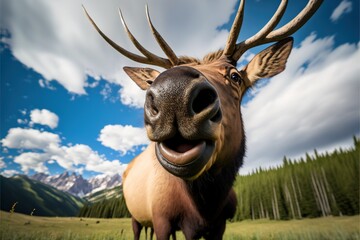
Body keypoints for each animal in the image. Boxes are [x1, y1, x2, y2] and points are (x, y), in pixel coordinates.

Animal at [83, 0, 322, 239]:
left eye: (235, 76)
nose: (172, 94)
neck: (205, 207)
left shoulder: (218, 225)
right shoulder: (162, 220)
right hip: (136, 216)